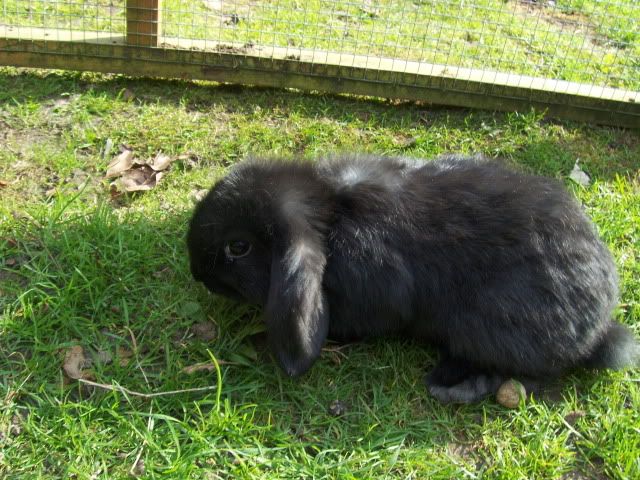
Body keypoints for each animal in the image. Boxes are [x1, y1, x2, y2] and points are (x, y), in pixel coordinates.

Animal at [188, 156, 636, 404]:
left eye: (238, 247)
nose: (198, 274)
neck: (332, 215)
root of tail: (598, 330)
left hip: (488, 329)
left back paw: (455, 387)